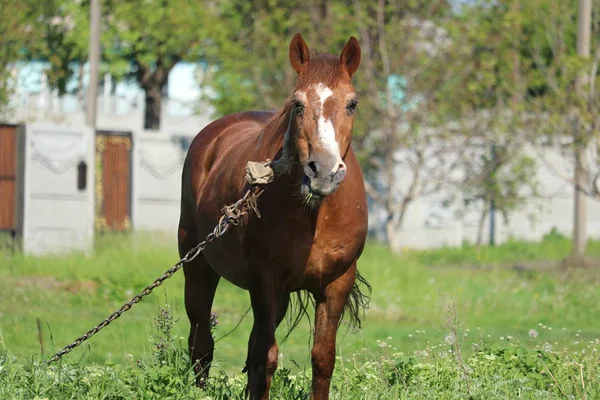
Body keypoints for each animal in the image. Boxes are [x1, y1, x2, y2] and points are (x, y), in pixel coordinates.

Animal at [176, 32, 368, 398]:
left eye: (352, 104)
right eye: (297, 104)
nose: (323, 172)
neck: (314, 217)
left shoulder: (336, 284)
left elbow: (322, 359)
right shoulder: (264, 280)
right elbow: (266, 358)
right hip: (198, 268)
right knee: (201, 342)